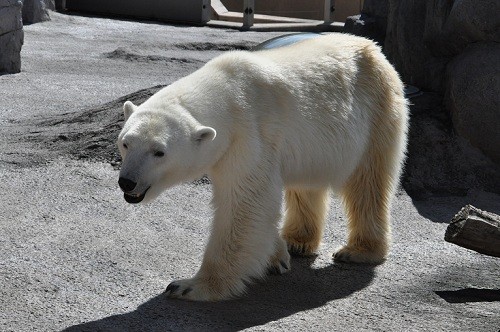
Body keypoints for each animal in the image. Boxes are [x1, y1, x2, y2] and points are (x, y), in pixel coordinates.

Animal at [118, 33, 410, 300]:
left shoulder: (249, 135)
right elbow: (258, 206)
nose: (127, 181)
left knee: (368, 182)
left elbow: (245, 204)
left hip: (377, 115)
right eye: (125, 143)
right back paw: (297, 241)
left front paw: (190, 286)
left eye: (159, 152)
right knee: (306, 183)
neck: (226, 93)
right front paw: (276, 257)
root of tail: (375, 49)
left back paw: (357, 251)